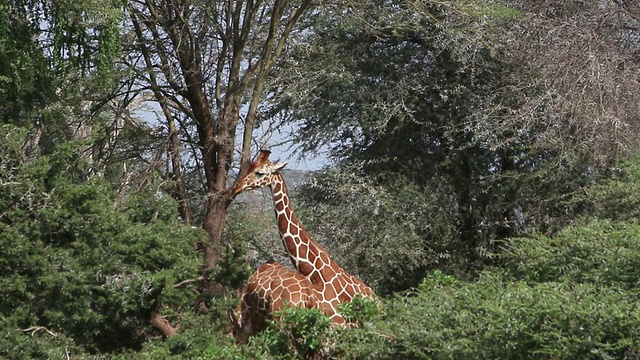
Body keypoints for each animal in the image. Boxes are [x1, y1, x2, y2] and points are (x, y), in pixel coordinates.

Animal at [232, 149, 376, 324]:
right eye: (249, 168)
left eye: (260, 172)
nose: (236, 188)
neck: (315, 275)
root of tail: (377, 298)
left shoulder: (336, 321)